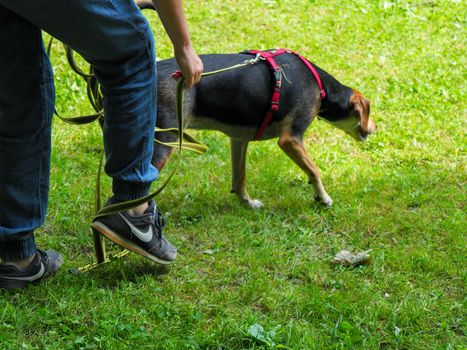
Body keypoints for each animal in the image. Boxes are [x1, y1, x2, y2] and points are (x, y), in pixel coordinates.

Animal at [152, 52, 378, 208]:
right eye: (366, 114)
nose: (375, 127)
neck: (320, 86)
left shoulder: (239, 139)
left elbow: (239, 178)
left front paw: (247, 204)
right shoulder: (290, 139)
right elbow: (314, 170)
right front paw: (323, 197)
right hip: (166, 140)